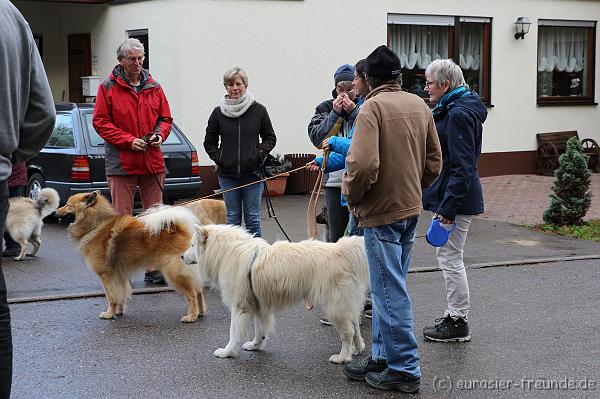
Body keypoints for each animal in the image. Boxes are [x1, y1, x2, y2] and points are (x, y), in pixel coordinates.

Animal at [56, 192, 206, 324]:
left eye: (68, 205)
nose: (55, 212)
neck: (96, 225)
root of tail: (180, 230)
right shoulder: (119, 275)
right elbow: (120, 295)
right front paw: (118, 311)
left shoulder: (106, 276)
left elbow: (111, 297)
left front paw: (109, 314)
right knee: (199, 290)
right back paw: (201, 312)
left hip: (174, 273)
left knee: (192, 294)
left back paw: (191, 316)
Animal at [185, 225, 370, 366]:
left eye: (192, 245)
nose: (181, 256)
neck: (226, 252)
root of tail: (341, 250)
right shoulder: (258, 306)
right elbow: (259, 330)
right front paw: (255, 345)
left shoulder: (240, 307)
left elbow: (233, 333)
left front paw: (226, 352)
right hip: (345, 305)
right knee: (355, 326)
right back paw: (357, 349)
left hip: (333, 306)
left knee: (348, 332)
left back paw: (343, 357)